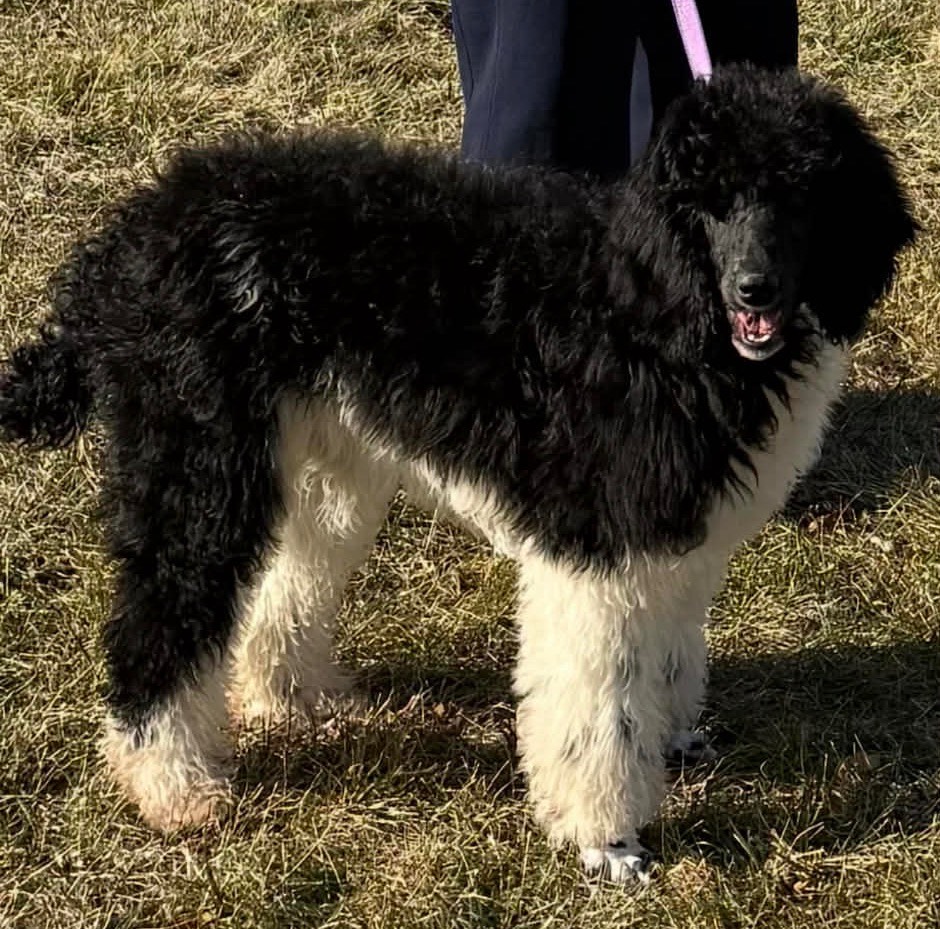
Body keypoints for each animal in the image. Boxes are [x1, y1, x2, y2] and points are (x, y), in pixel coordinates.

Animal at [0, 65, 915, 882]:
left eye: (802, 194)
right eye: (710, 198)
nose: (754, 288)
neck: (660, 310)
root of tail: (128, 241)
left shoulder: (676, 543)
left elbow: (667, 659)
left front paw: (673, 741)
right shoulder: (599, 551)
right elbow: (598, 709)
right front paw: (606, 840)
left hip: (328, 467)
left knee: (282, 587)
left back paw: (292, 697)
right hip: (200, 471)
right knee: (157, 625)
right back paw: (173, 786)